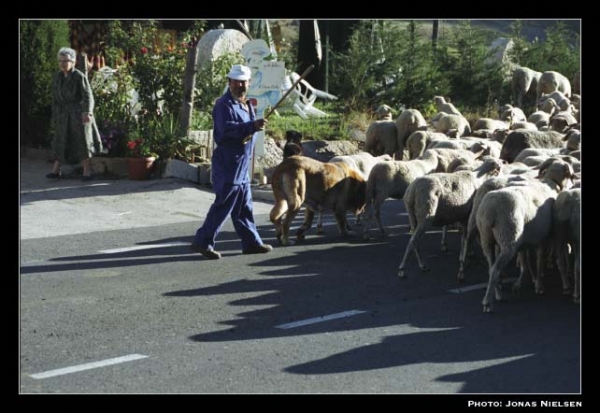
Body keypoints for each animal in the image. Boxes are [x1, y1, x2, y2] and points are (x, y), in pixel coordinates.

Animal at [476, 159, 576, 310]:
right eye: (569, 175)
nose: (572, 186)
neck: (551, 183)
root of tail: (491, 210)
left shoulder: (524, 240)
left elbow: (524, 262)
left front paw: (521, 283)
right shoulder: (543, 237)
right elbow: (540, 261)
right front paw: (539, 286)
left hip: (488, 240)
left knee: (491, 267)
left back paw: (497, 294)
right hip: (508, 238)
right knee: (495, 270)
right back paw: (488, 302)